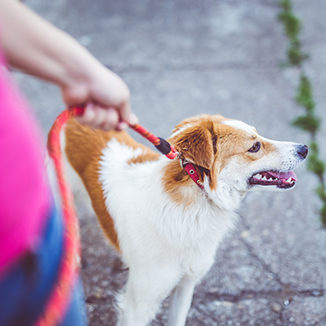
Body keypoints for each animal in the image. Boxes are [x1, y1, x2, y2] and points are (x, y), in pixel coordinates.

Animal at [59, 114, 308, 326]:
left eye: (259, 135)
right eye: (254, 147)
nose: (305, 148)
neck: (195, 205)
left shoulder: (187, 284)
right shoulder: (137, 306)